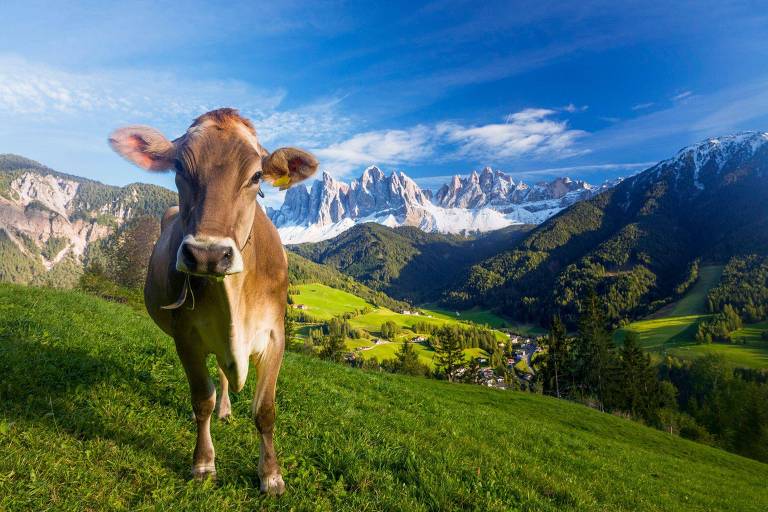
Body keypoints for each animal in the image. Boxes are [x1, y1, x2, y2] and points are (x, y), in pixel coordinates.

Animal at [106, 109, 316, 496]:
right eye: (179, 167)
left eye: (256, 176)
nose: (207, 255)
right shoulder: (186, 336)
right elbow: (201, 397)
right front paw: (203, 463)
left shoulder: (275, 335)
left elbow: (265, 410)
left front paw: (271, 475)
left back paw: (226, 409)